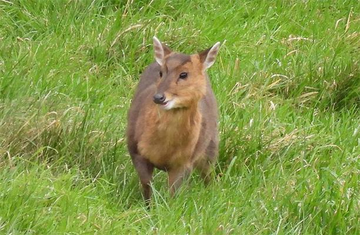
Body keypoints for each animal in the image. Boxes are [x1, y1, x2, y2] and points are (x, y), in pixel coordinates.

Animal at [128, 37, 221, 206]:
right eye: (161, 72)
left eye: (184, 74)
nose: (159, 97)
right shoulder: (135, 149)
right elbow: (147, 186)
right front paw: (148, 207)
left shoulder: (184, 161)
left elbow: (174, 193)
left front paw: (169, 208)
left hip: (211, 144)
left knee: (208, 174)